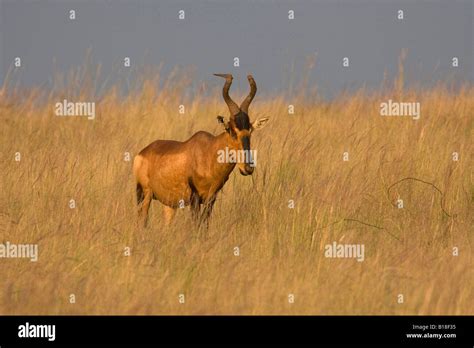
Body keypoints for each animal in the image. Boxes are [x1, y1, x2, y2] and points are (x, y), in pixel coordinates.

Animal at [131, 73, 268, 227]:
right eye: (231, 130)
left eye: (250, 130)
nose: (248, 168)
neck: (208, 152)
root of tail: (142, 153)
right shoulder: (194, 197)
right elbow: (196, 225)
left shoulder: (211, 198)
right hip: (144, 194)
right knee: (141, 221)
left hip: (169, 204)